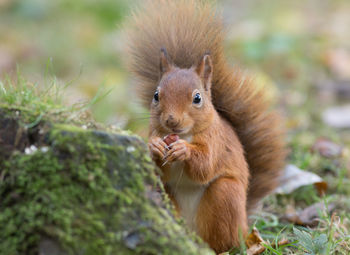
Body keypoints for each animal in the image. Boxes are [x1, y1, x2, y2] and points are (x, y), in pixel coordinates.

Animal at [125, 0, 284, 253]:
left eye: (197, 98)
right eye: (156, 95)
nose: (171, 121)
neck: (184, 135)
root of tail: (244, 223)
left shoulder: (215, 140)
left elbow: (205, 165)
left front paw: (185, 151)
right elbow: (160, 167)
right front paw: (154, 147)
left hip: (224, 196)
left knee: (221, 242)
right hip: (167, 196)